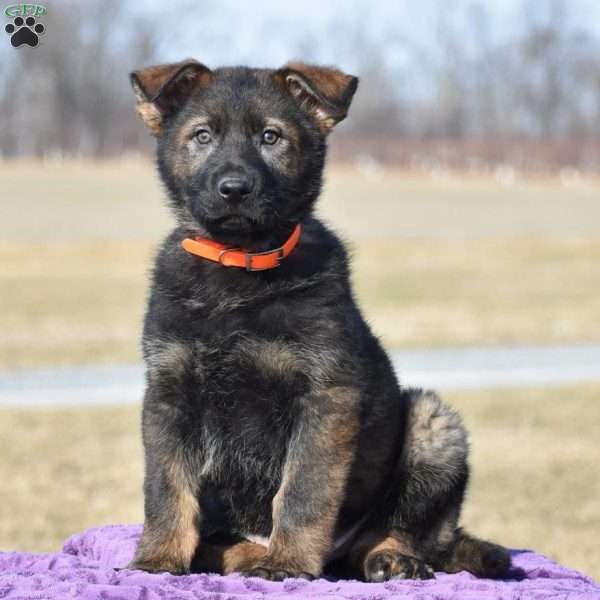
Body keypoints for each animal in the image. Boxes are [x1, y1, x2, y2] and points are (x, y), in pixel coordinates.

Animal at [127, 59, 510, 580]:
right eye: (202, 136)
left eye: (271, 137)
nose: (234, 189)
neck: (240, 267)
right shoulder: (169, 391)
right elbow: (166, 489)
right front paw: (158, 559)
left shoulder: (325, 396)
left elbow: (303, 491)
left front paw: (287, 562)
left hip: (433, 425)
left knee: (390, 533)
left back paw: (389, 558)